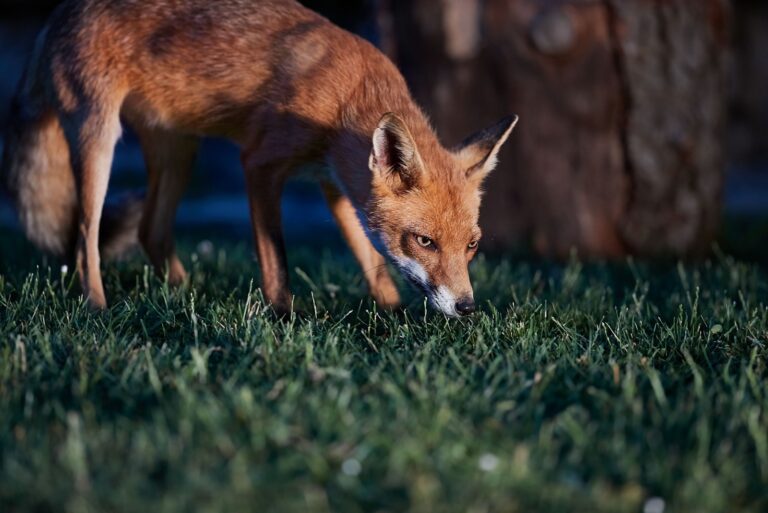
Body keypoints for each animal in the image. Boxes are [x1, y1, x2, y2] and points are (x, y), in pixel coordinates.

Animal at [1, 0, 517, 318]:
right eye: (425, 241)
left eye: (472, 244)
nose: (467, 308)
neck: (346, 97)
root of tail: (57, 15)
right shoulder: (260, 165)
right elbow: (276, 260)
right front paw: (284, 317)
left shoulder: (336, 183)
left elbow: (370, 258)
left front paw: (390, 313)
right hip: (99, 139)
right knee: (84, 240)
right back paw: (98, 309)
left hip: (180, 151)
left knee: (151, 230)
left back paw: (182, 295)